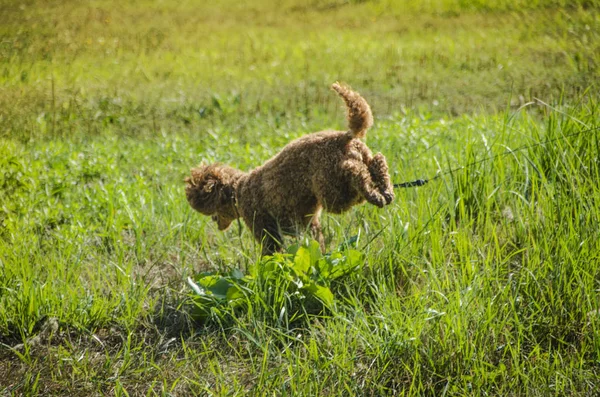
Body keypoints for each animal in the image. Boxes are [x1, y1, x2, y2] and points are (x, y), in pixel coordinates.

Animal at [185, 83, 396, 254]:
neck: (238, 190)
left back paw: (373, 194)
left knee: (355, 171)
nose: (213, 221)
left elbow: (270, 251)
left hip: (331, 187)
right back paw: (385, 190)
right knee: (378, 161)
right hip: (359, 160)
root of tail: (344, 137)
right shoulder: (308, 223)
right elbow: (316, 242)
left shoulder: (264, 227)